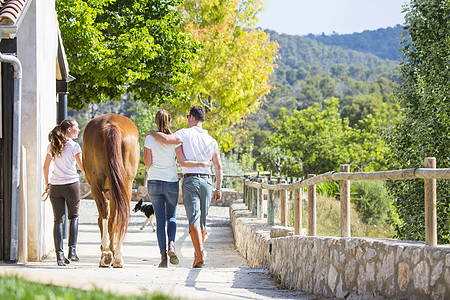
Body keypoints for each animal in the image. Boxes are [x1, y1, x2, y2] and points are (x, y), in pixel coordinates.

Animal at [82, 113, 139, 268]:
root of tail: (111, 124)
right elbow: (113, 219)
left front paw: (107, 251)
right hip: (125, 185)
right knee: (118, 214)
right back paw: (116, 256)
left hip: (95, 186)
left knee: (105, 209)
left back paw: (107, 253)